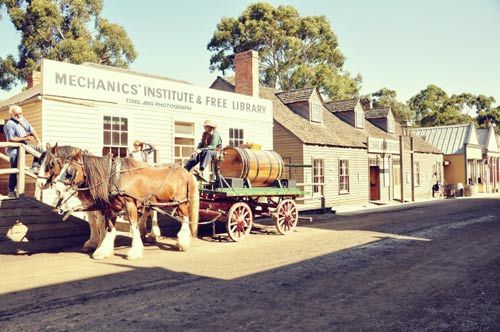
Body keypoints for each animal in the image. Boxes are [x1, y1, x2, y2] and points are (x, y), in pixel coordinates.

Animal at [64, 150, 199, 260]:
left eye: (69, 172)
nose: (61, 192)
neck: (115, 177)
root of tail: (186, 173)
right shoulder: (112, 207)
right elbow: (110, 228)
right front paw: (103, 251)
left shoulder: (130, 204)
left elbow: (133, 226)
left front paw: (135, 251)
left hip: (181, 202)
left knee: (185, 218)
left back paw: (182, 243)